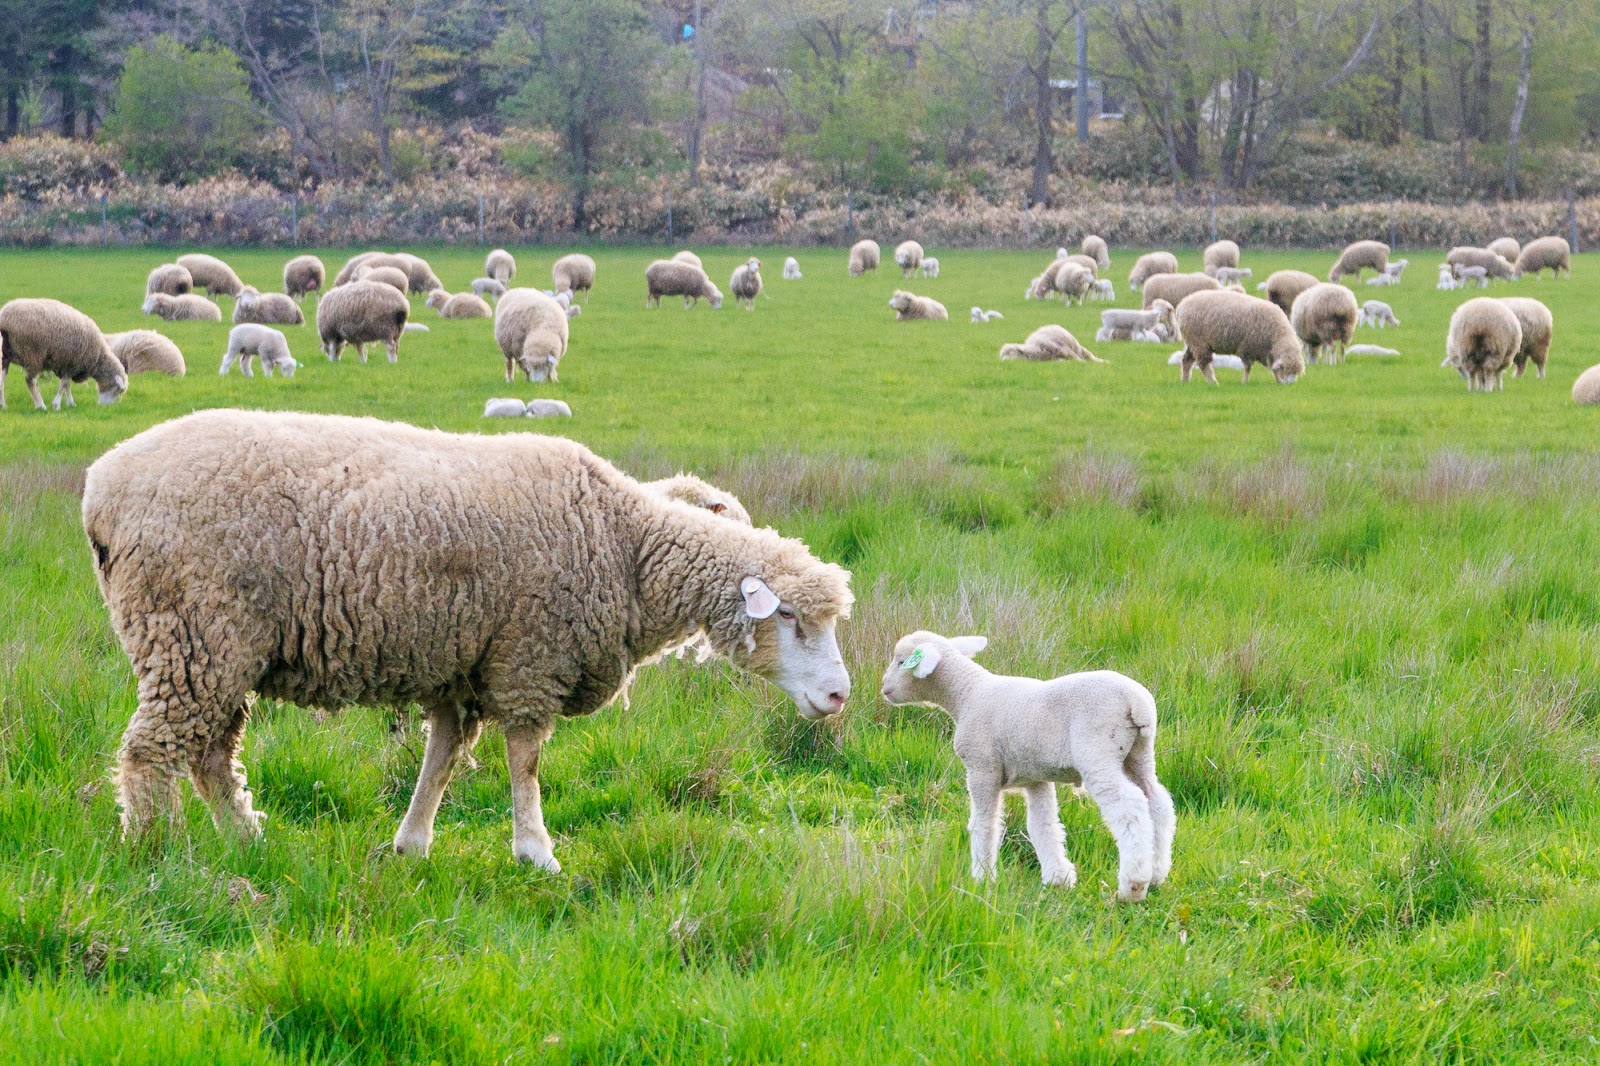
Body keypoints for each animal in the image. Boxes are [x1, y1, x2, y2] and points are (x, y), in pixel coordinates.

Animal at [0, 296, 128, 408]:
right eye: (118, 389)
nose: (105, 407)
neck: (98, 357)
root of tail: (5, 319)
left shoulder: (65, 365)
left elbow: (67, 385)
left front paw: (70, 403)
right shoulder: (71, 364)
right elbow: (64, 384)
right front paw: (56, 405)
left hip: (6, 354)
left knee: (2, 377)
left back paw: (3, 405)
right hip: (33, 353)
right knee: (30, 380)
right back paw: (40, 405)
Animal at [81, 406, 857, 864]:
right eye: (789, 618)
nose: (840, 696)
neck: (624, 544)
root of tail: (101, 487)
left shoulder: (462, 664)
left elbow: (443, 756)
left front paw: (412, 842)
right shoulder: (530, 656)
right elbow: (526, 761)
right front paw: (536, 851)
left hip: (218, 646)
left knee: (210, 755)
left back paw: (246, 841)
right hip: (192, 632)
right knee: (152, 751)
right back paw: (151, 850)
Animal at [876, 630, 1177, 896]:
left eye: (901, 661)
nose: (883, 686)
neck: (967, 694)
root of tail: (1137, 703)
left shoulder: (982, 767)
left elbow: (985, 823)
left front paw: (982, 879)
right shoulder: (1035, 777)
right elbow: (1042, 824)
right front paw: (1058, 878)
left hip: (1098, 752)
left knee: (1130, 806)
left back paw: (1133, 885)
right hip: (1139, 754)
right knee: (1157, 801)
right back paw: (1157, 874)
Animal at [1171, 288, 1305, 384]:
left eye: (1295, 372)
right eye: (1285, 369)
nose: (1290, 384)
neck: (1277, 335)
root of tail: (1182, 305)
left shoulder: (1265, 352)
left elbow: (1272, 367)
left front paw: (1278, 381)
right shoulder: (1248, 348)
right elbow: (1247, 367)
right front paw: (1245, 381)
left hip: (1192, 342)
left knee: (1186, 360)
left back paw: (1185, 381)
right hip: (1198, 342)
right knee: (1204, 363)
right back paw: (1213, 382)